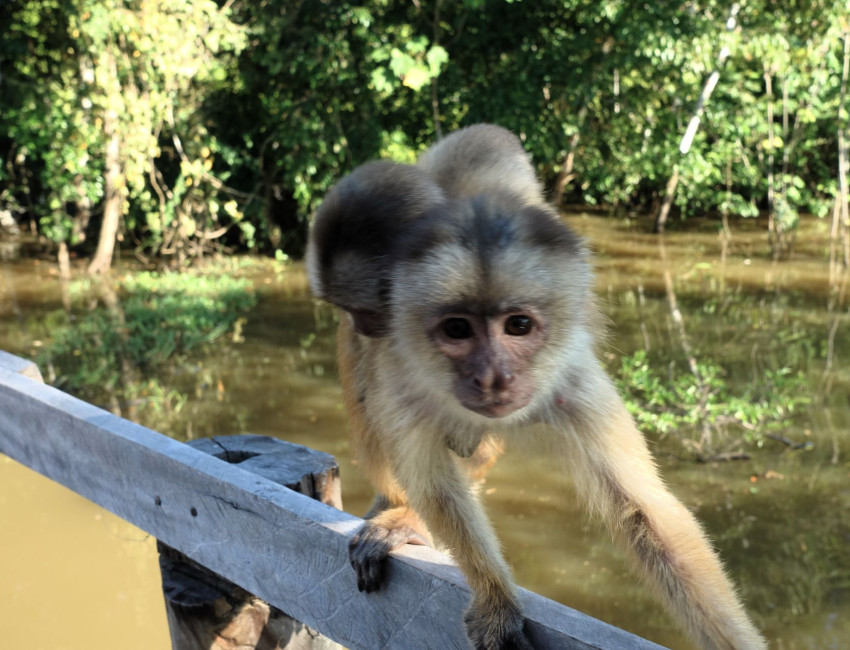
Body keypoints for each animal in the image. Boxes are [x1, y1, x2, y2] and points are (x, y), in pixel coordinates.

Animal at [304, 125, 760, 648]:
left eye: (518, 326)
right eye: (457, 330)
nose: (492, 376)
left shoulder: (573, 379)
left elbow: (645, 513)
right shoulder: (399, 366)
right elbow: (435, 484)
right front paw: (495, 598)